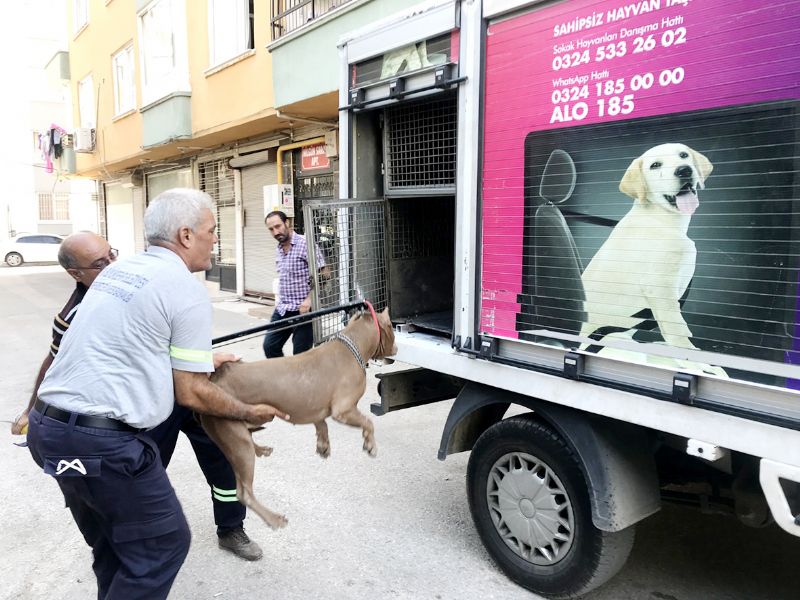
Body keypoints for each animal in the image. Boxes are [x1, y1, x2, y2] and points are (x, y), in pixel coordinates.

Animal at [203, 308, 396, 528]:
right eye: (392, 327)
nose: (397, 347)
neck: (354, 341)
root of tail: (215, 379)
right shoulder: (343, 410)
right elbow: (368, 422)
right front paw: (370, 445)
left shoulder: (314, 408)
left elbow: (322, 425)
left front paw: (323, 446)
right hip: (235, 439)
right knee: (245, 492)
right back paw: (274, 518)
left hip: (247, 424)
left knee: (249, 438)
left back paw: (261, 450)